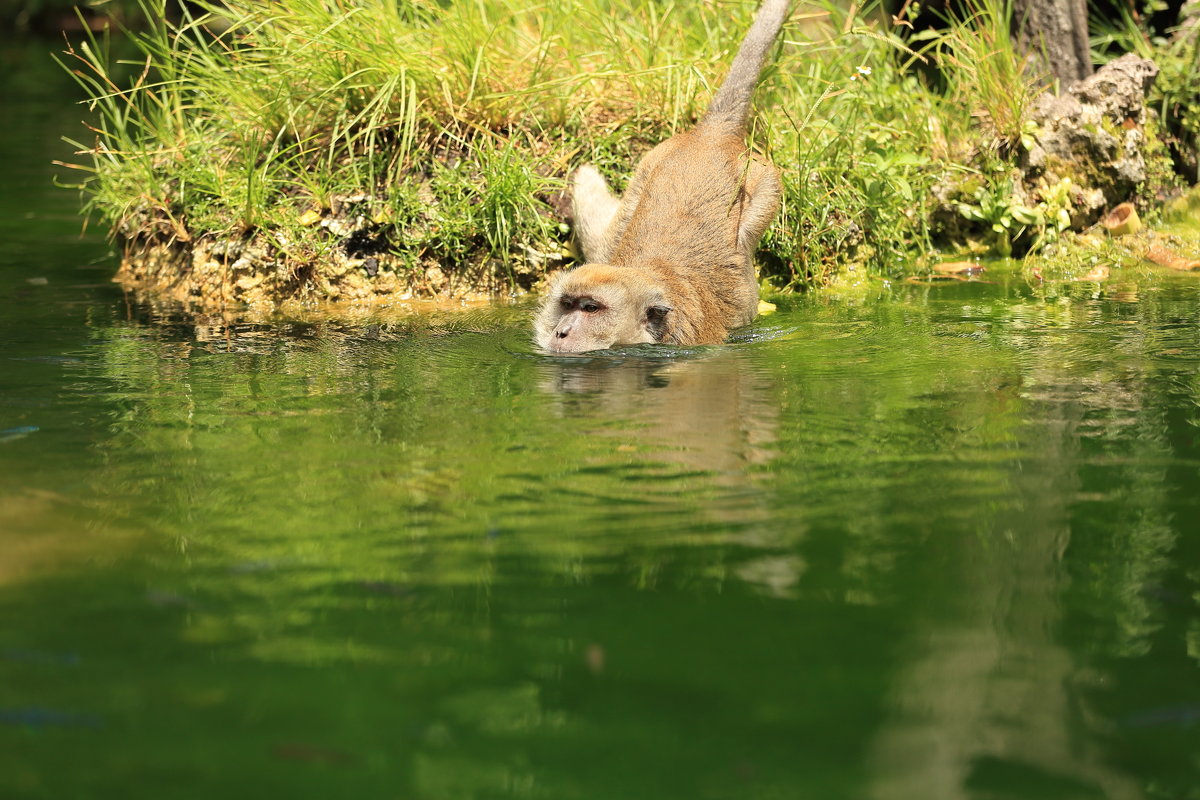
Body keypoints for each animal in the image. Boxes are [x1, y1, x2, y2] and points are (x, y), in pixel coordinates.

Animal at [535, 0, 787, 352]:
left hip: (765, 184)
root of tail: (711, 133)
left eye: (591, 308)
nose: (561, 332)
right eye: (567, 304)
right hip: (649, 164)